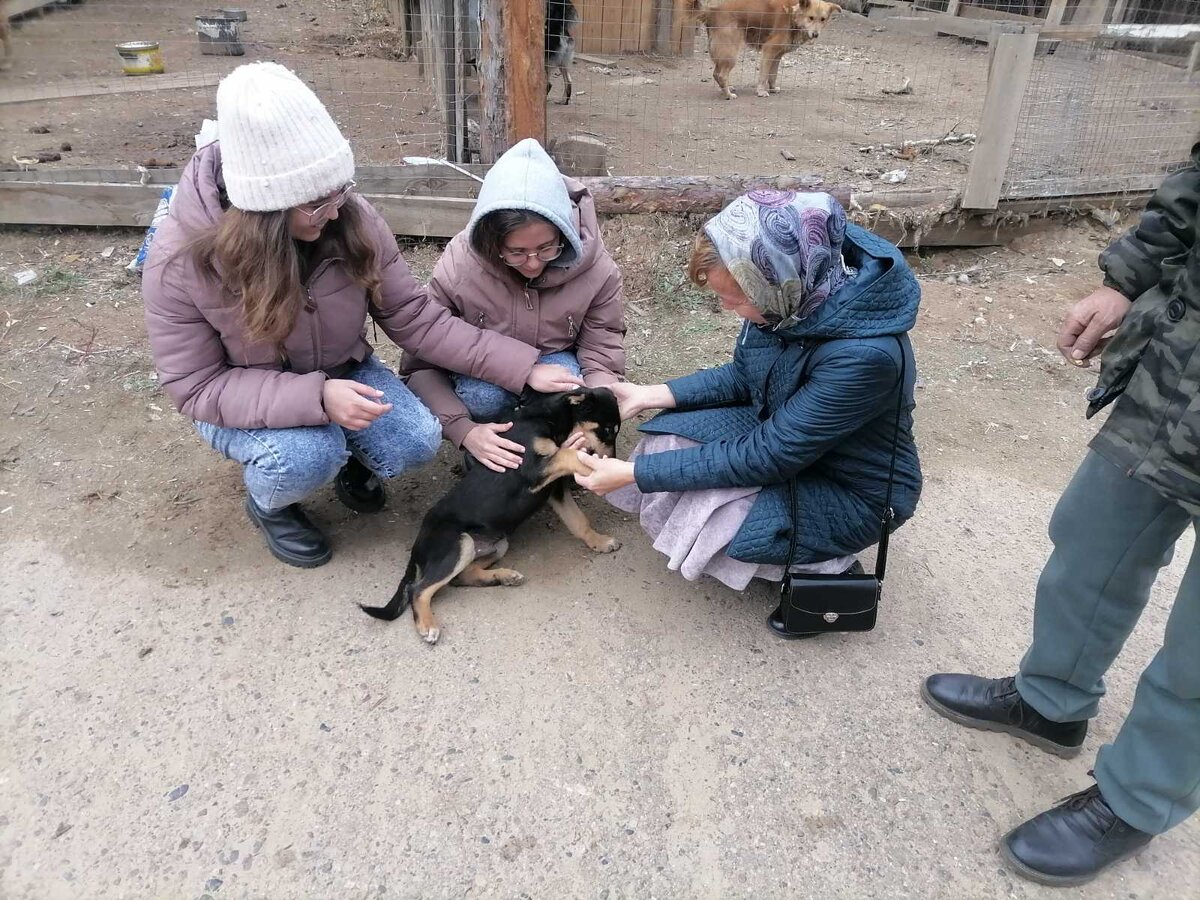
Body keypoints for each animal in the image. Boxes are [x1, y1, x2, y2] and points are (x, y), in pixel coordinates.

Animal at [360, 391, 624, 643]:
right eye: (607, 430)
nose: (612, 460)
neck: (550, 420)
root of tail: (417, 547)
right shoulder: (532, 468)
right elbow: (569, 454)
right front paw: (601, 470)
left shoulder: (554, 490)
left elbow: (579, 521)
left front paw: (600, 542)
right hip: (460, 543)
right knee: (419, 589)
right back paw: (427, 626)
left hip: (498, 545)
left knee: (462, 577)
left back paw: (504, 576)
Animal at [691, 0, 840, 99]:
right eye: (811, 18)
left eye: (823, 19)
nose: (815, 34)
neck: (792, 15)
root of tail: (713, 11)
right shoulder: (769, 50)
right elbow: (764, 75)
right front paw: (761, 91)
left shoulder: (777, 55)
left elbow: (773, 75)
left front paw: (773, 88)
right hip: (731, 52)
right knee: (721, 74)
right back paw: (728, 94)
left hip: (723, 52)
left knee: (716, 73)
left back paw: (726, 89)